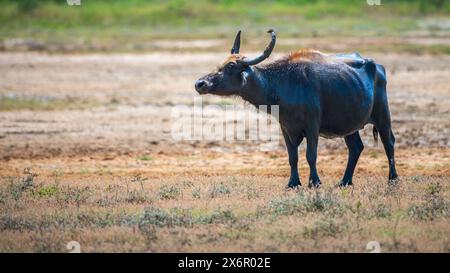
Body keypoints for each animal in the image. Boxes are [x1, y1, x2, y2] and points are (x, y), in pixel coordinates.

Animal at [195, 29, 400, 187]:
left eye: (230, 66)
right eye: (221, 64)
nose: (200, 83)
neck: (282, 84)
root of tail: (377, 66)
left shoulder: (312, 126)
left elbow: (311, 155)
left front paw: (315, 182)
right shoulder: (285, 128)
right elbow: (292, 156)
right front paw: (293, 183)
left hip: (382, 115)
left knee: (389, 143)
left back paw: (393, 179)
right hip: (350, 126)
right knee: (356, 148)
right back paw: (345, 181)